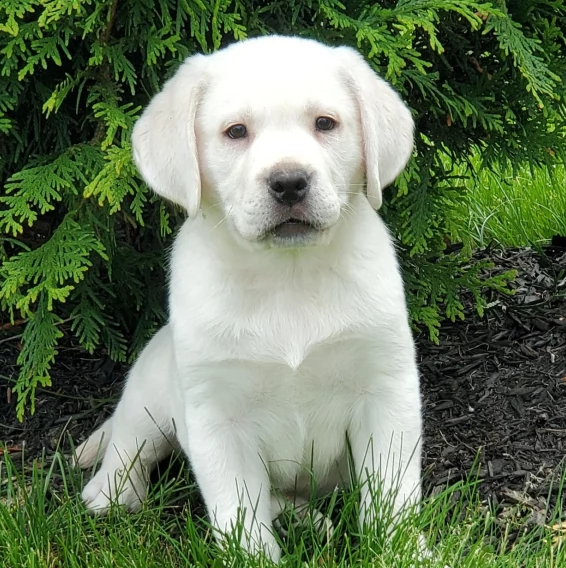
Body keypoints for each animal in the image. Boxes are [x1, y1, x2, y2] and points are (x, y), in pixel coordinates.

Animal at [74, 35, 422, 564]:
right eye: (236, 132)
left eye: (325, 123)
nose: (289, 182)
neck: (288, 276)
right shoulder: (218, 417)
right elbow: (239, 510)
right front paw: (255, 556)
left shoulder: (386, 391)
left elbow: (392, 490)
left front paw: (406, 550)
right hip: (150, 389)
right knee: (131, 443)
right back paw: (111, 491)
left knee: (281, 497)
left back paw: (308, 520)